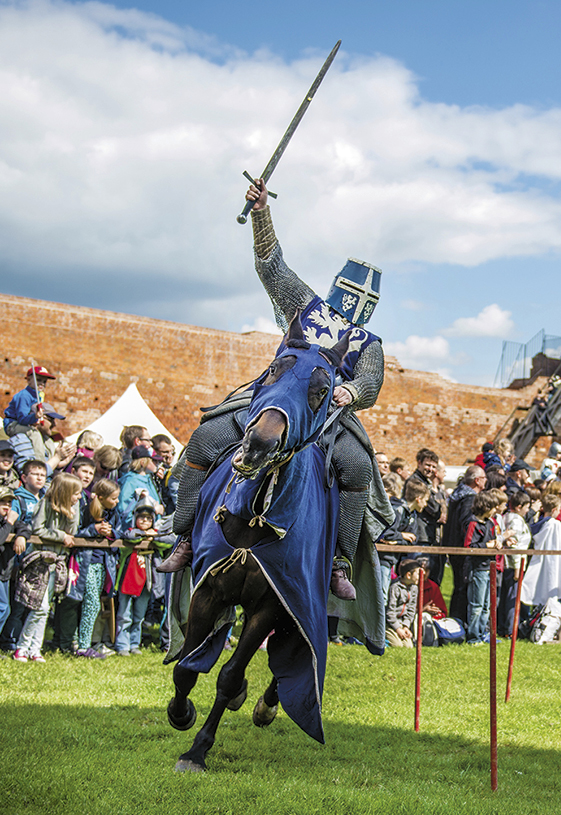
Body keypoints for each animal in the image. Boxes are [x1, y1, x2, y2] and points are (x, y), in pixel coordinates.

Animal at [167, 316, 350, 776]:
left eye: (321, 391)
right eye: (271, 372)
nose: (260, 445)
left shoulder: (275, 600)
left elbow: (229, 674)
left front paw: (198, 749)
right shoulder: (209, 590)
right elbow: (186, 667)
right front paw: (180, 713)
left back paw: (266, 703)